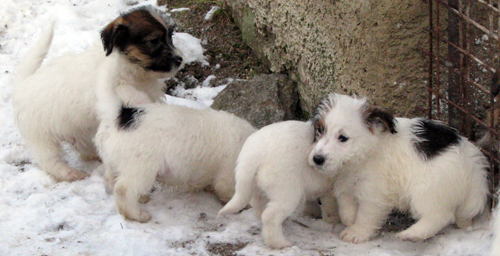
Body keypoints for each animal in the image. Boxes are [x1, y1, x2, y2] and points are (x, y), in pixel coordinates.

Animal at [12, 6, 184, 182]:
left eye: (170, 36)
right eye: (154, 41)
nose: (180, 59)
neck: (131, 67)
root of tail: (22, 85)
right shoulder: (112, 85)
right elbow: (130, 91)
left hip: (78, 131)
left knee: (84, 148)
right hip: (41, 138)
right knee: (50, 161)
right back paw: (70, 173)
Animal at [308, 93, 488, 244]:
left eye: (343, 138)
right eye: (320, 129)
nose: (317, 159)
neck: (367, 152)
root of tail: (473, 167)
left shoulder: (374, 194)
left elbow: (366, 216)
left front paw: (356, 232)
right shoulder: (347, 181)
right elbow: (345, 203)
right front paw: (349, 218)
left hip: (426, 190)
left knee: (439, 216)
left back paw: (411, 234)